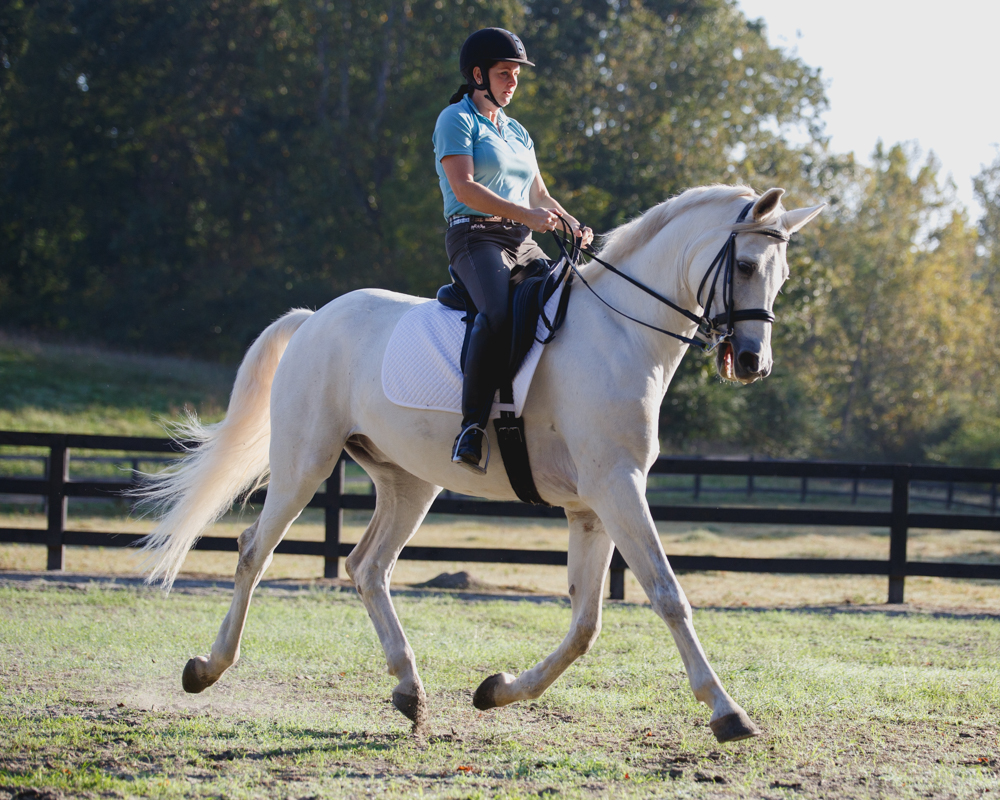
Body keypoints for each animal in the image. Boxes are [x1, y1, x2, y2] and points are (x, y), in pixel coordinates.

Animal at [137, 183, 820, 744]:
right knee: (255, 550)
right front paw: (727, 711)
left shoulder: (593, 505)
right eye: (747, 265)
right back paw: (207, 669)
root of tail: (314, 318)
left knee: (367, 567)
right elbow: (666, 592)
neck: (621, 335)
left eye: (782, 277)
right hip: (305, 461)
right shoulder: (617, 487)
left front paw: (498, 691)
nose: (752, 362)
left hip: (408, 483)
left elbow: (585, 623)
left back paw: (409, 692)